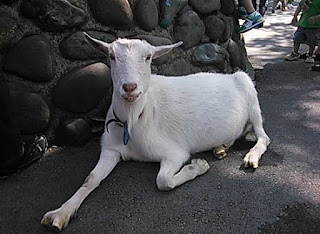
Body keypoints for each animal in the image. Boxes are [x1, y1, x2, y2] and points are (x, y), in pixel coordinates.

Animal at [40, 33, 270, 231]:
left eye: (148, 57)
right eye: (112, 56)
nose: (129, 87)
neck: (135, 119)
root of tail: (232, 75)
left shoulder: (174, 152)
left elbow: (164, 181)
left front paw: (198, 166)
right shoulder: (111, 149)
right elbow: (91, 178)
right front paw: (60, 213)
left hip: (252, 98)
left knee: (263, 136)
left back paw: (250, 157)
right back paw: (221, 147)